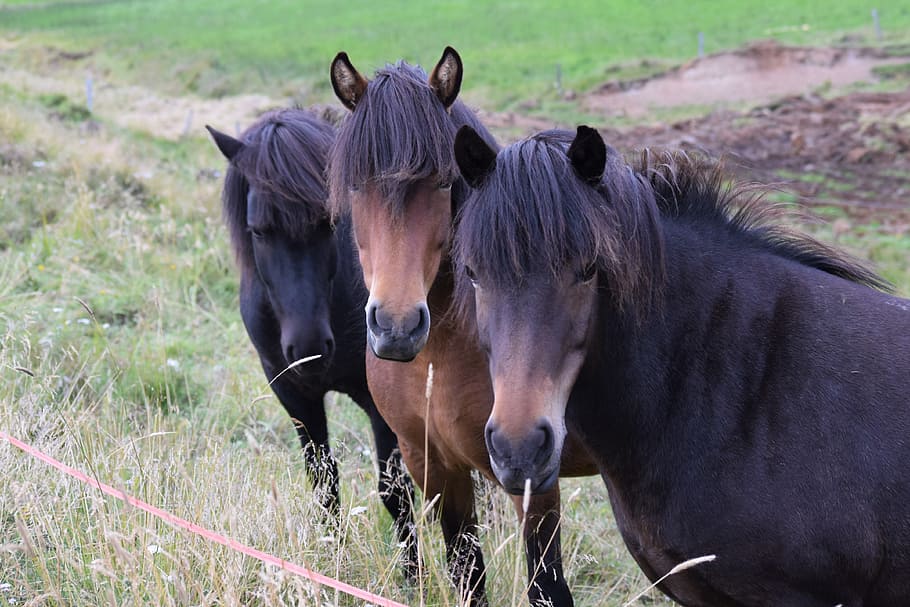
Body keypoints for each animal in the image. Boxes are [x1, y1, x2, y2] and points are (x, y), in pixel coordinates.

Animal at [206, 109, 416, 578]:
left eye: (330, 223)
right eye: (258, 231)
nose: (309, 348)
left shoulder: (380, 403)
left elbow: (395, 493)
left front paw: (417, 581)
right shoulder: (293, 392)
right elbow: (324, 482)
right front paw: (330, 560)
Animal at [328, 48, 596, 607]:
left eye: (444, 181)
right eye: (357, 183)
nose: (397, 326)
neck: (443, 358)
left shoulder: (534, 483)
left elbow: (548, 587)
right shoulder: (434, 466)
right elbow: (466, 572)